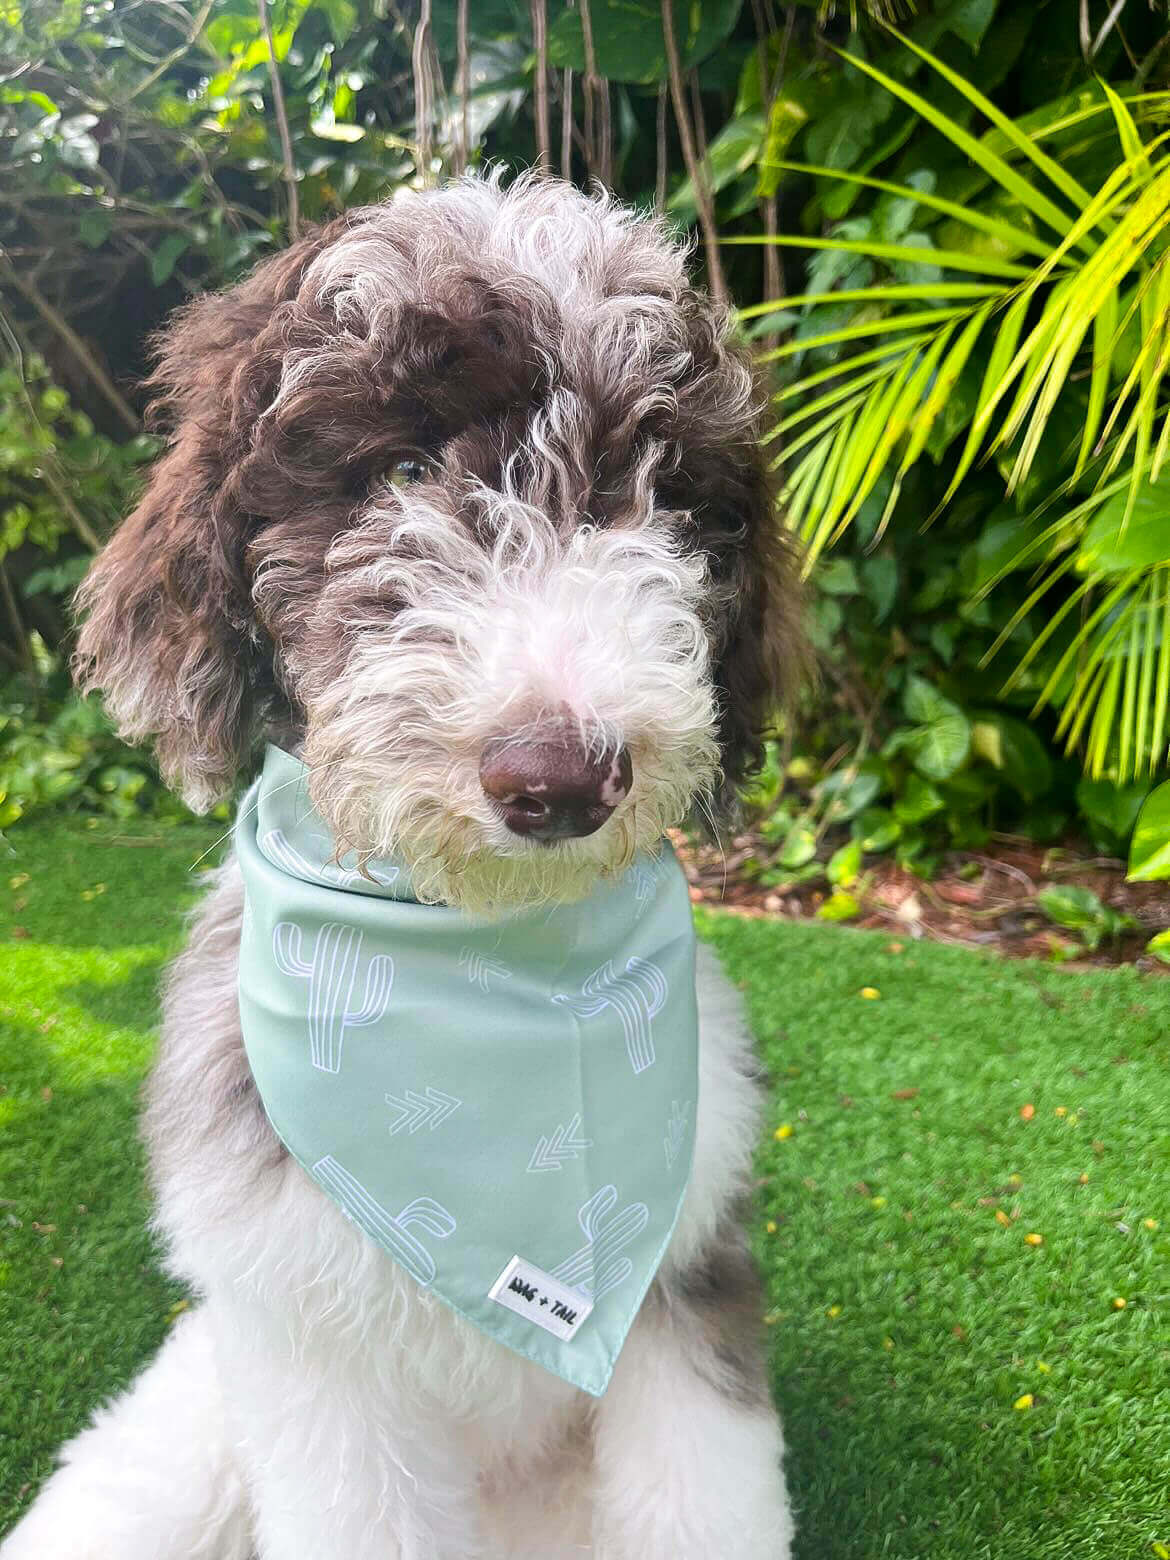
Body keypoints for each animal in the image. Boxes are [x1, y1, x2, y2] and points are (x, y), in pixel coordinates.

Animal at [0, 173, 804, 1560]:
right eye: (403, 472)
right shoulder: (316, 1359)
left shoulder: (688, 1280)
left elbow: (700, 1500)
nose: (559, 778)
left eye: (659, 490)